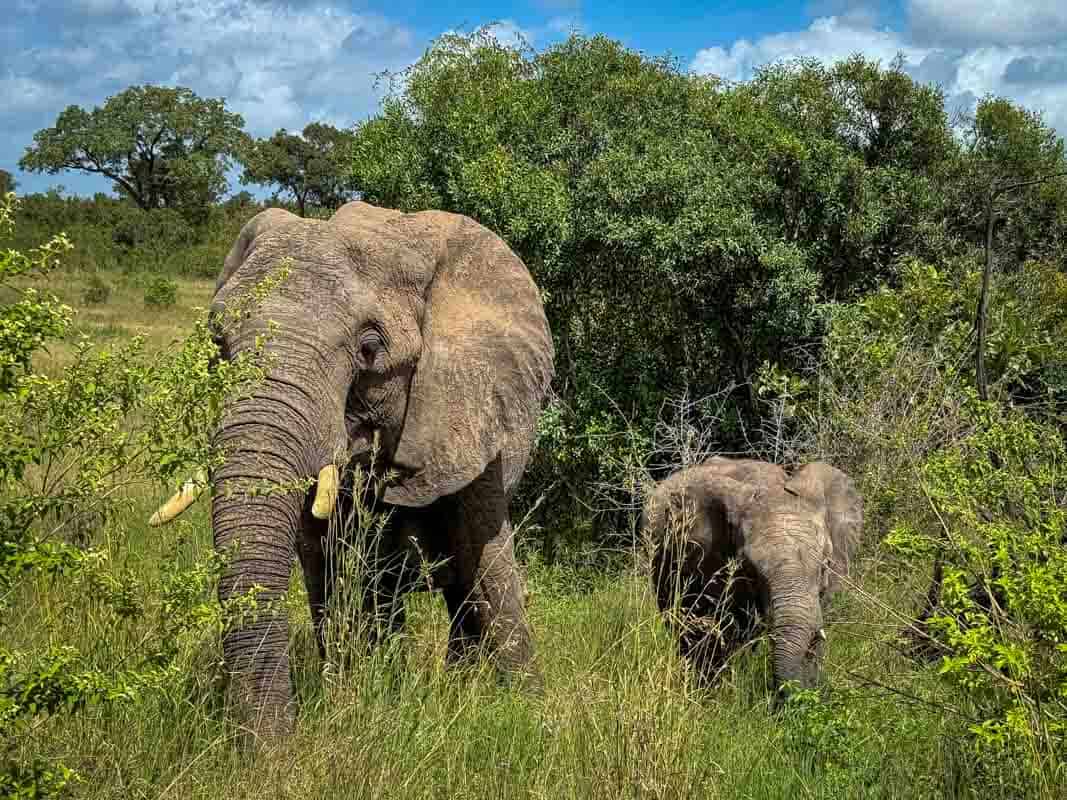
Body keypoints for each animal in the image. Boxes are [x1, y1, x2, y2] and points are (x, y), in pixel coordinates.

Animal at [149, 203, 554, 742]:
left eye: (369, 348)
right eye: (218, 342)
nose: (273, 749)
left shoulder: (473, 406)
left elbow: (486, 559)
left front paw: (528, 714)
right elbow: (324, 557)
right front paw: (349, 687)